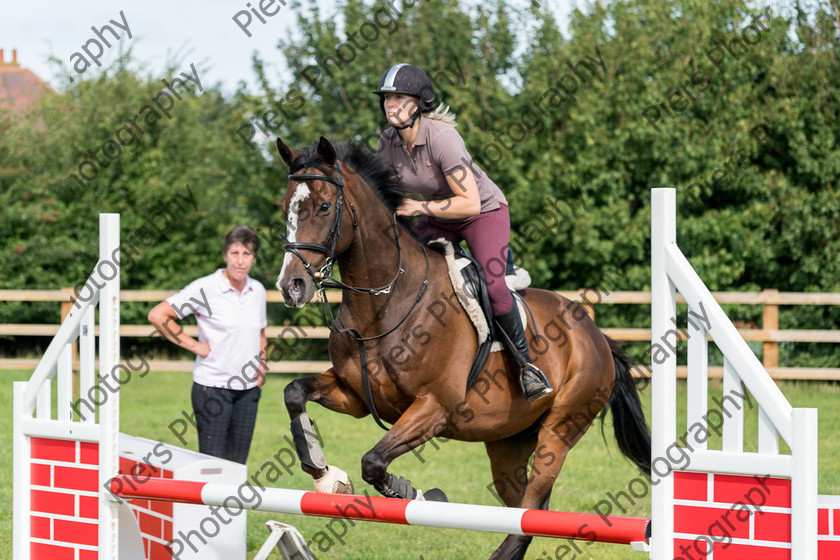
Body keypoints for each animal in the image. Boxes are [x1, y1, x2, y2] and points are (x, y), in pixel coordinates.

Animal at [276, 137, 648, 560]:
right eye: (285, 206)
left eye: (324, 206)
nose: (291, 286)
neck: (385, 303)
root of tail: (597, 335)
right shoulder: (355, 397)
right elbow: (294, 393)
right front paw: (324, 474)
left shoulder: (434, 407)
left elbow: (373, 461)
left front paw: (415, 493)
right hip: (509, 443)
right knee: (526, 511)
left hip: (560, 429)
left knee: (530, 510)